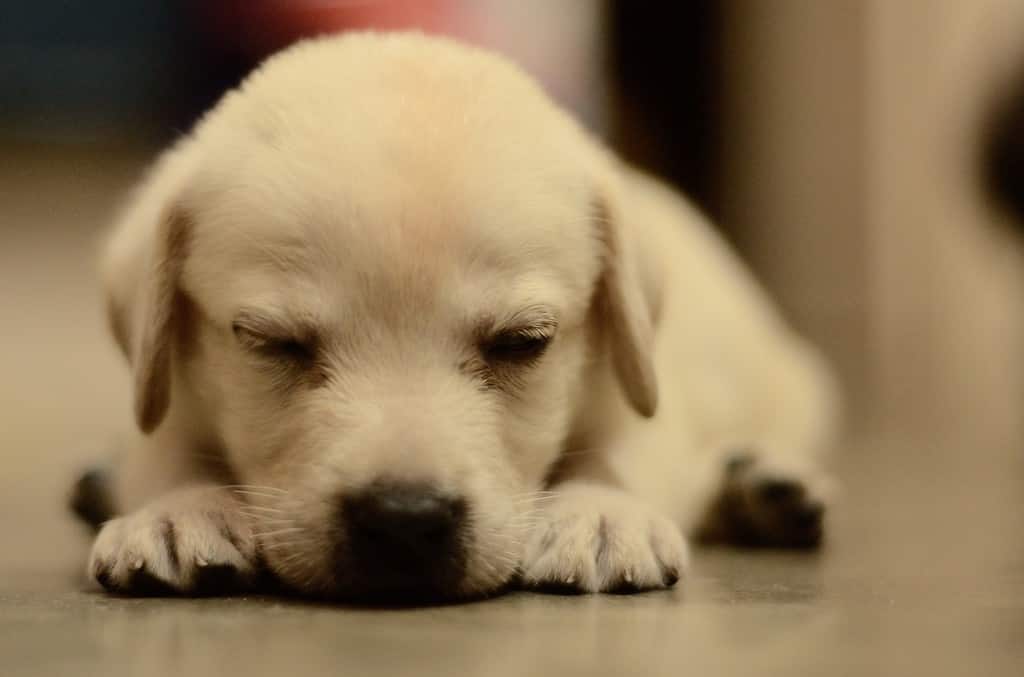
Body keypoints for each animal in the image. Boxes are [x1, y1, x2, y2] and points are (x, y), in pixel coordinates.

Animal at [75, 33, 835, 602]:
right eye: (272, 343)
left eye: (522, 343)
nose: (404, 522)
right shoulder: (172, 388)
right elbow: (163, 450)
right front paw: (178, 511)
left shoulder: (638, 383)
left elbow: (627, 447)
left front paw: (600, 511)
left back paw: (762, 489)